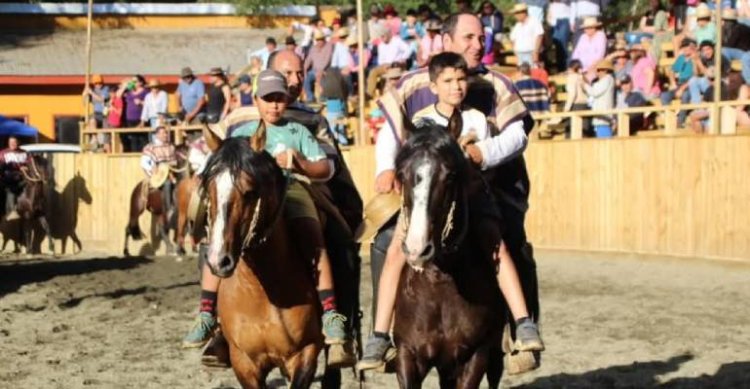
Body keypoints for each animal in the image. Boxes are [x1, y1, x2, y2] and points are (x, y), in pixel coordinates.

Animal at [203, 138, 324, 386]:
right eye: (210, 191)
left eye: (250, 192)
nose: (219, 260)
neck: (262, 293)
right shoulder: (243, 362)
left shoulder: (306, 353)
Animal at [394, 119, 506, 386]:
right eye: (401, 174)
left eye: (451, 175)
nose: (417, 249)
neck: (439, 285)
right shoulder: (408, 355)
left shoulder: (476, 355)